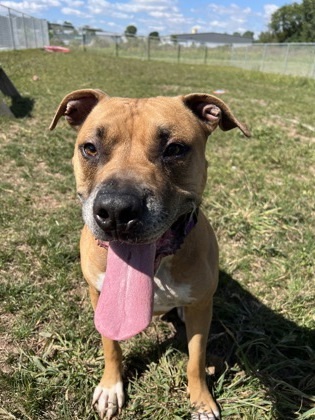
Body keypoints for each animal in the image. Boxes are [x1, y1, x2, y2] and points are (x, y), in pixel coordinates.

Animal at [50, 90, 251, 418]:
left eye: (175, 149)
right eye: (90, 148)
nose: (116, 210)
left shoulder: (201, 310)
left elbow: (196, 359)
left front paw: (201, 400)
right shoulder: (99, 296)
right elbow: (110, 345)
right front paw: (111, 388)